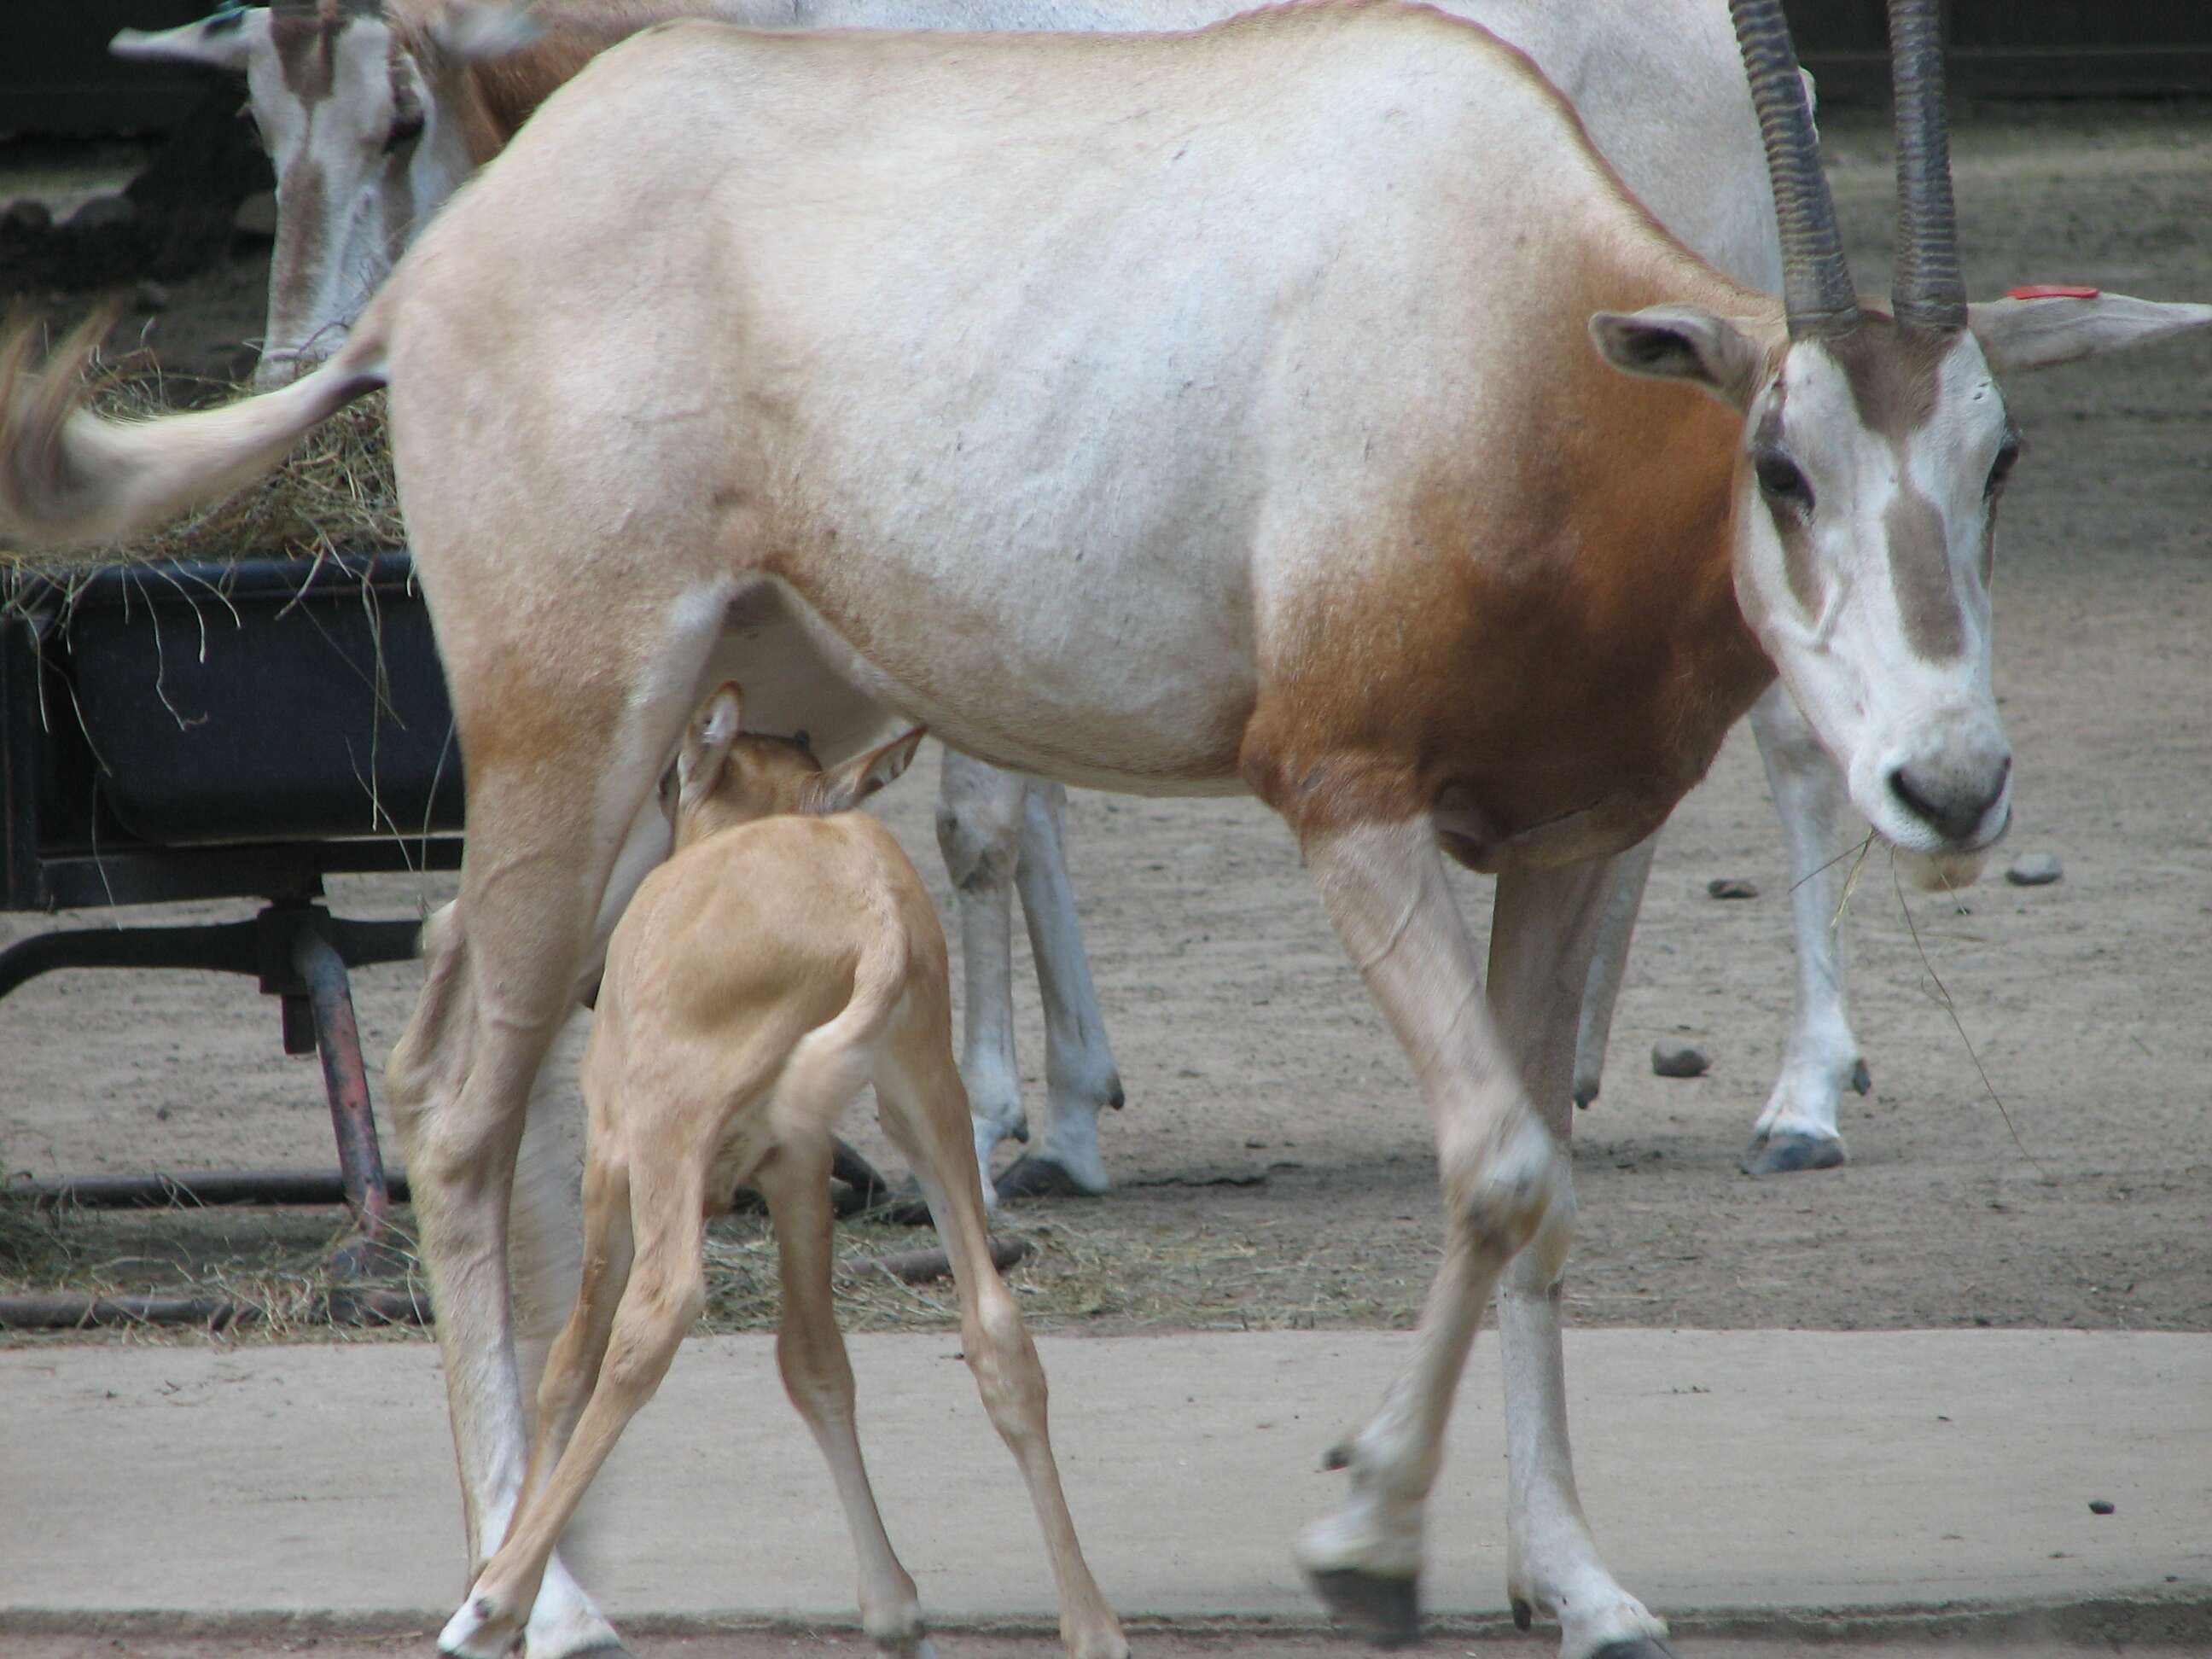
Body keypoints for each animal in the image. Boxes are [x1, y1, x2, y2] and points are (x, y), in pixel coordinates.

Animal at [438, 681, 1123, 1654]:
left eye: (668, 784)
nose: (593, 989)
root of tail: (871, 915)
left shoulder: (612, 1162)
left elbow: (571, 1360)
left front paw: (504, 1595)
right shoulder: (798, 1168)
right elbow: (815, 1360)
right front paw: (894, 1605)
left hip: (669, 1137)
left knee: (656, 1312)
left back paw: (495, 1601)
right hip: (926, 1109)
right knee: (996, 1326)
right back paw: (1092, 1622)